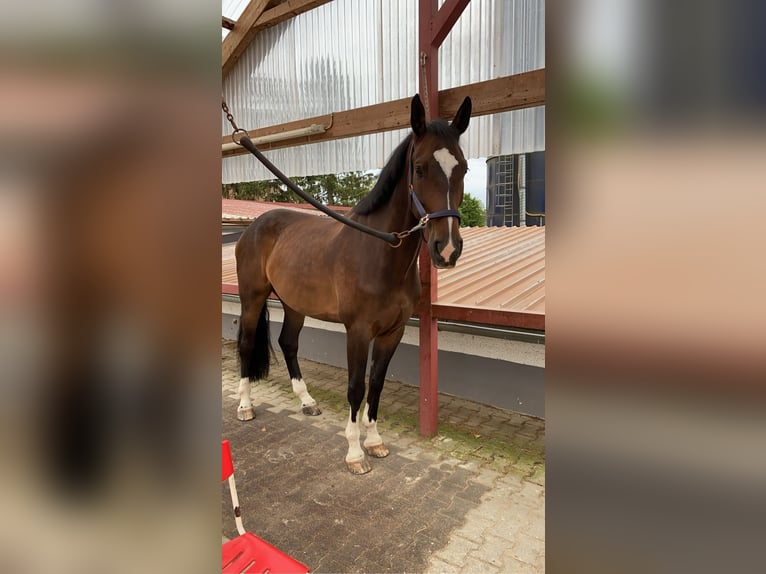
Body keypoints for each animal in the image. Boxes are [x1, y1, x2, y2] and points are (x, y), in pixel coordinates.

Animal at [235, 93, 472, 474]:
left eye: (462, 168)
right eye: (419, 168)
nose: (447, 249)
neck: (379, 253)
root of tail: (256, 225)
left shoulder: (393, 332)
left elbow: (376, 385)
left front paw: (374, 441)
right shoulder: (357, 331)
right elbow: (355, 388)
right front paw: (354, 453)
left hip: (294, 304)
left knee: (288, 343)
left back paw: (307, 402)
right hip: (252, 298)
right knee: (244, 343)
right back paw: (245, 405)